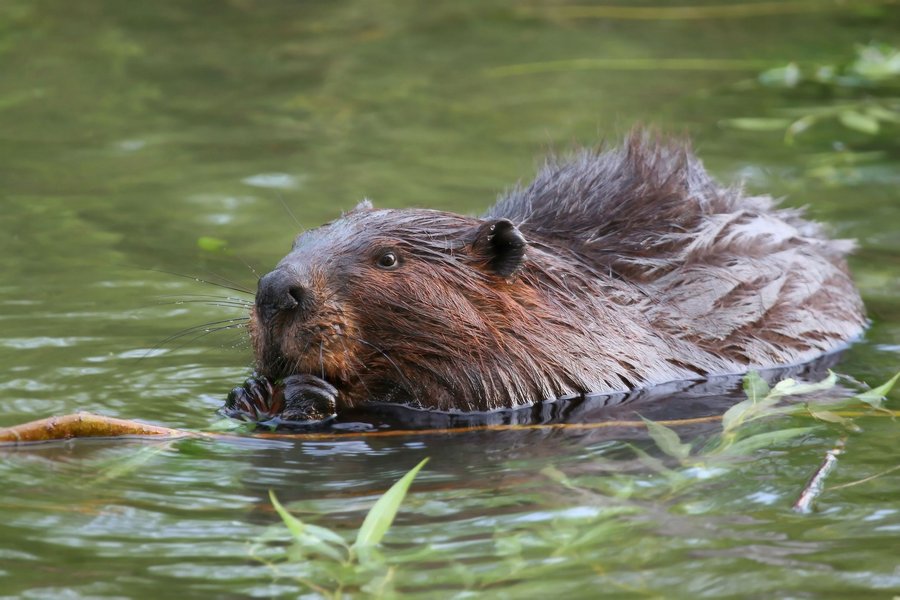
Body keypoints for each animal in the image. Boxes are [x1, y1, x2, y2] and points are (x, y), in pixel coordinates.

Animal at [223, 135, 864, 426]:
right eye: (299, 240)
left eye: (387, 260)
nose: (276, 290)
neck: (572, 300)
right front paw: (249, 393)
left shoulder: (560, 359)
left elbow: (473, 395)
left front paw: (311, 394)